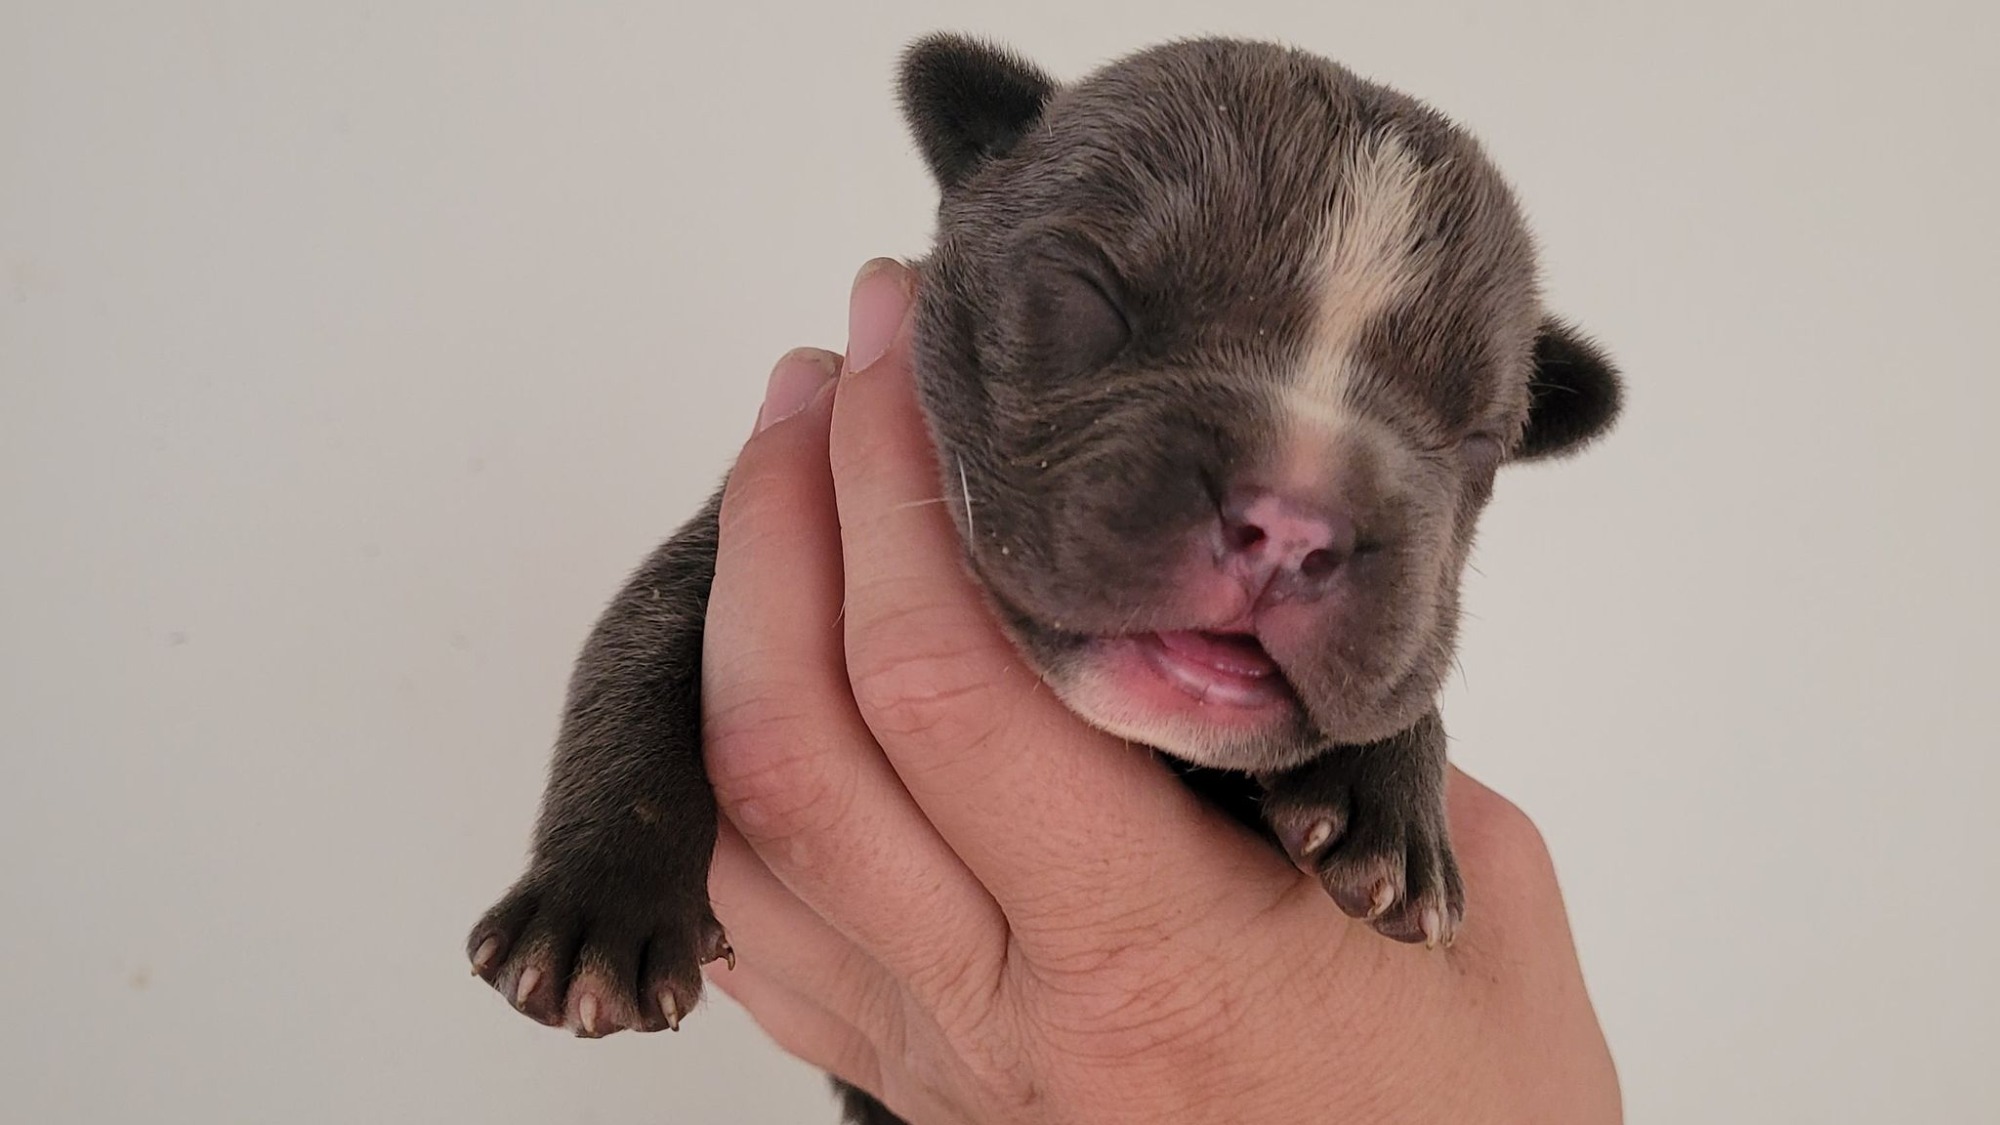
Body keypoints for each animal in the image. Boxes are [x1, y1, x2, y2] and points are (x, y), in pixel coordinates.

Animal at [468, 30, 1624, 1104]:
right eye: (1093, 296)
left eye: (1475, 445)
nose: (1295, 521)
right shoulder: (730, 540)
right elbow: (637, 647)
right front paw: (600, 902)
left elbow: (1396, 684)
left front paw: (1394, 808)